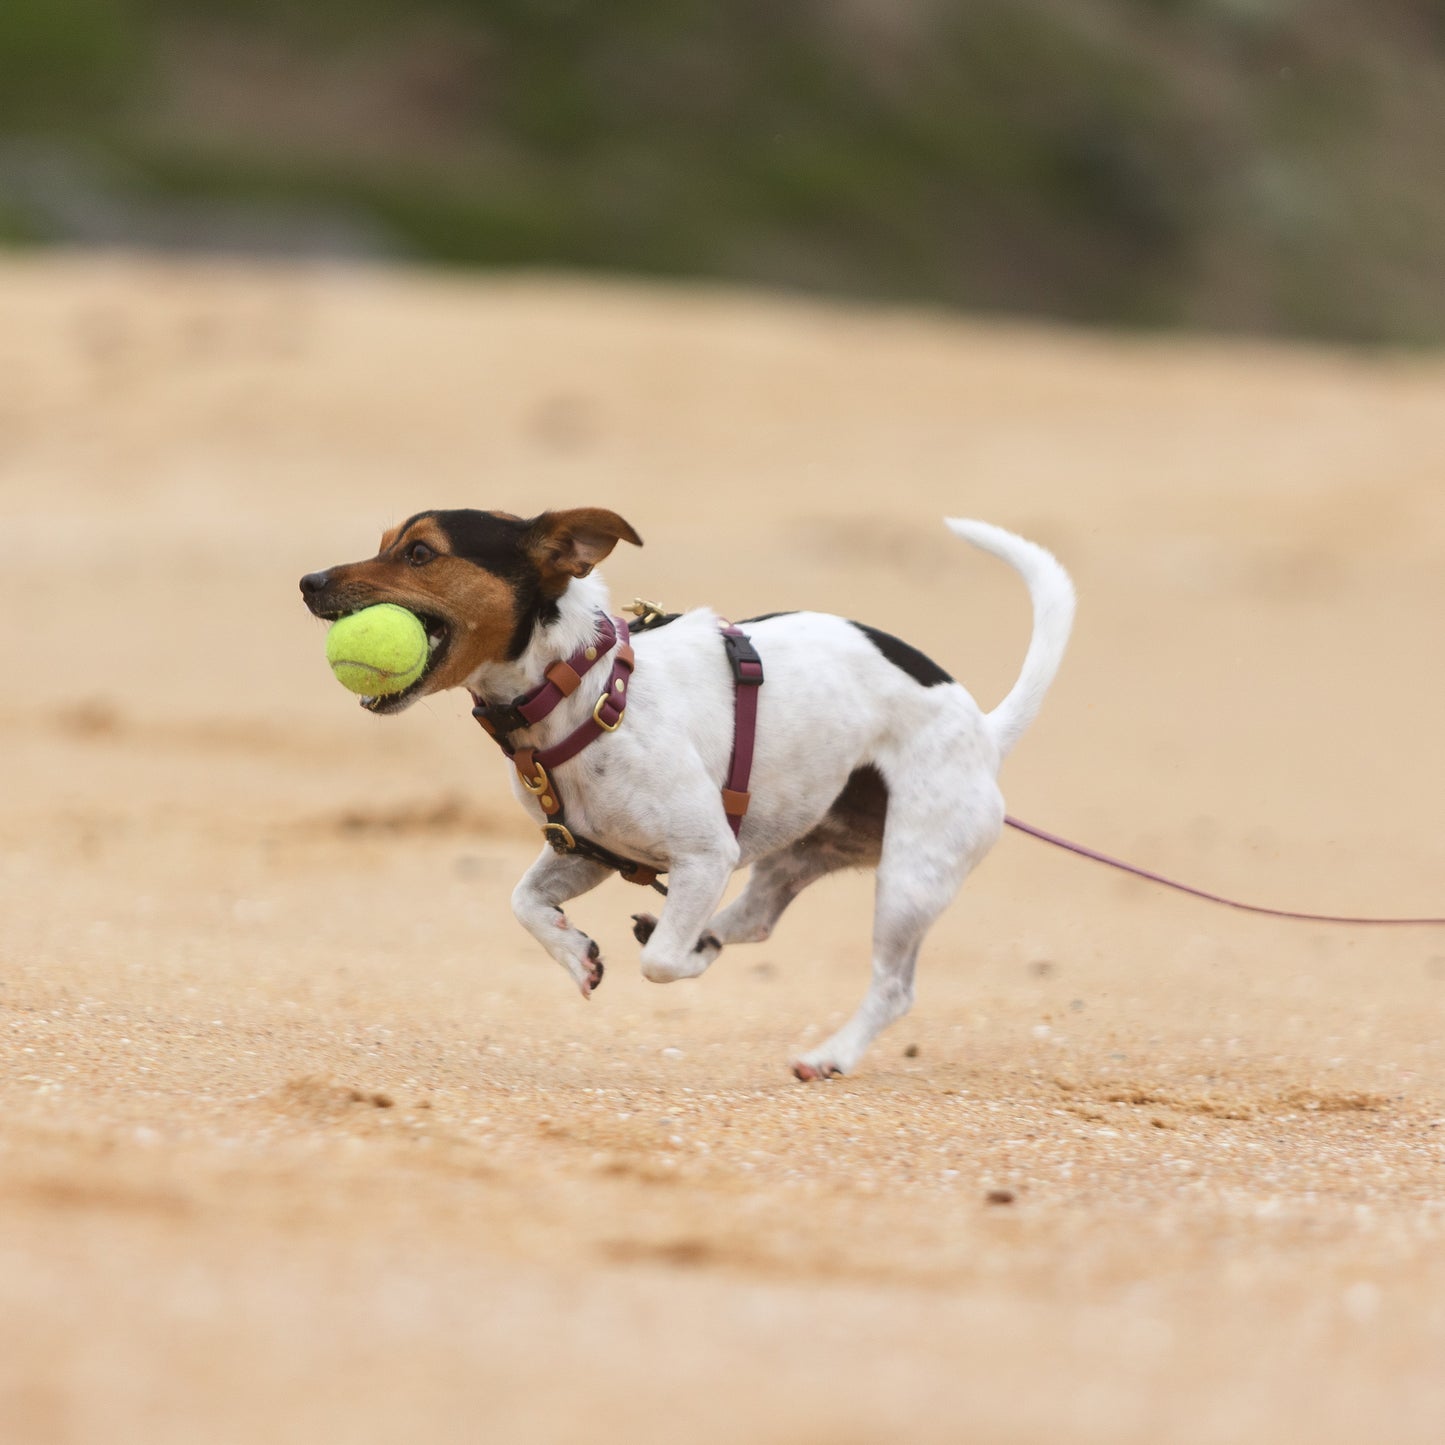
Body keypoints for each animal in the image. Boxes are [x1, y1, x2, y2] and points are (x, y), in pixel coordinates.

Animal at [302, 514, 1075, 1080]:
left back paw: (826, 1053)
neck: (580, 684)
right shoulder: (589, 849)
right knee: (758, 918)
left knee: (891, 987)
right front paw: (577, 953)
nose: (309, 581)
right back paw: (706, 932)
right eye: (385, 542)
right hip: (801, 848)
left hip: (912, 878)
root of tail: (983, 731)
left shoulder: (705, 854)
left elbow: (663, 965)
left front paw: (684, 953)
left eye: (420, 553)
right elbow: (524, 902)